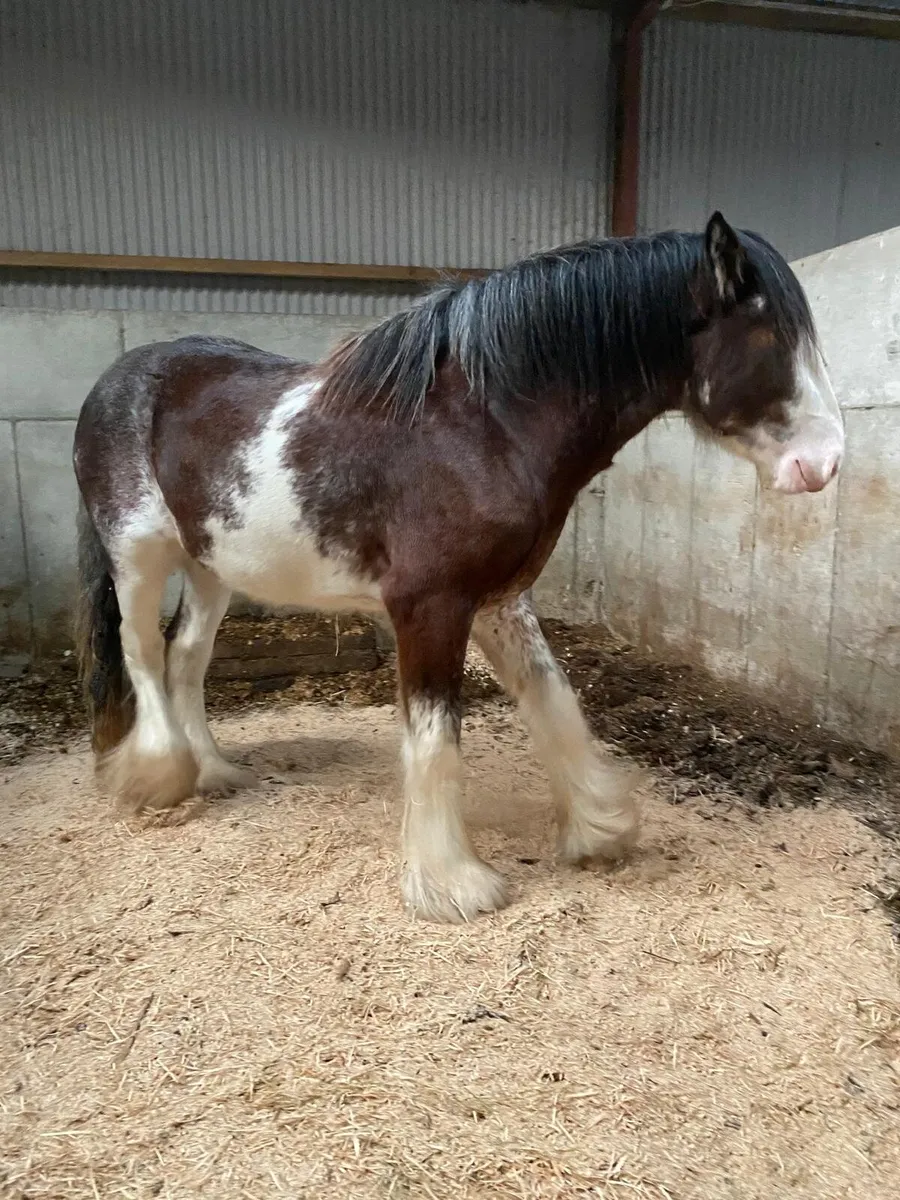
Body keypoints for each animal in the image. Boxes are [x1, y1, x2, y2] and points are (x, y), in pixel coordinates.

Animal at [73, 212, 844, 923]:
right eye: (771, 337)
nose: (826, 463)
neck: (481, 426)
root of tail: (114, 380)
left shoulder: (501, 599)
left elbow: (552, 700)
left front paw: (599, 829)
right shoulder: (430, 605)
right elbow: (435, 735)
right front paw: (452, 884)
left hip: (211, 565)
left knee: (187, 657)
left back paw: (214, 771)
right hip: (138, 553)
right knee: (142, 653)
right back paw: (154, 778)